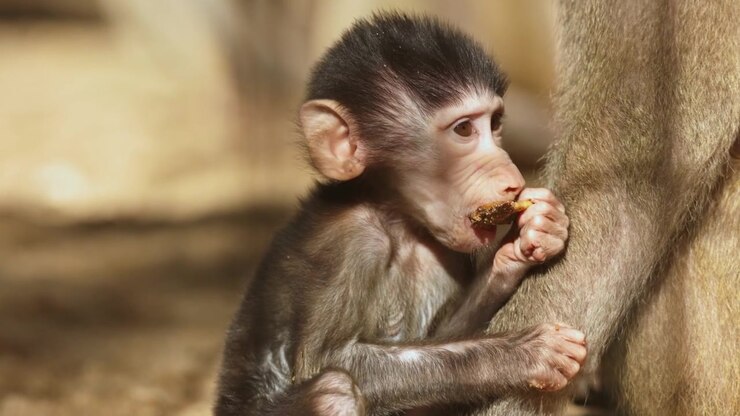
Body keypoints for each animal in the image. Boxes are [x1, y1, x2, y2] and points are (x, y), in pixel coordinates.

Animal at [215, 13, 588, 416]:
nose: (512, 181)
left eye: (495, 123)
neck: (397, 222)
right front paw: (523, 353)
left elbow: (445, 337)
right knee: (333, 391)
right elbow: (327, 357)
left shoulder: (442, 255)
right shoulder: (351, 240)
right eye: (464, 129)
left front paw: (526, 239)